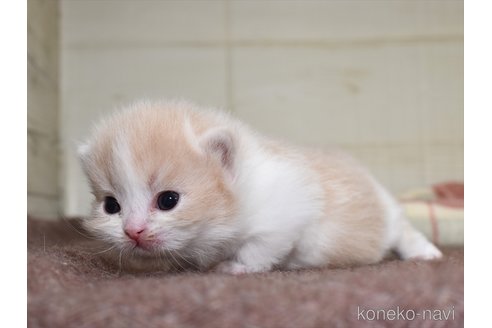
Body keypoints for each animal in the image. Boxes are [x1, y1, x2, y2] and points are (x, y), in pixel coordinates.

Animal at [80, 100, 442, 274]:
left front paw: (234, 268)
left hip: (388, 216)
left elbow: (260, 246)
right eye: (111, 206)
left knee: (403, 231)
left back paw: (425, 253)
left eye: (168, 200)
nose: (133, 231)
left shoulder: (287, 212)